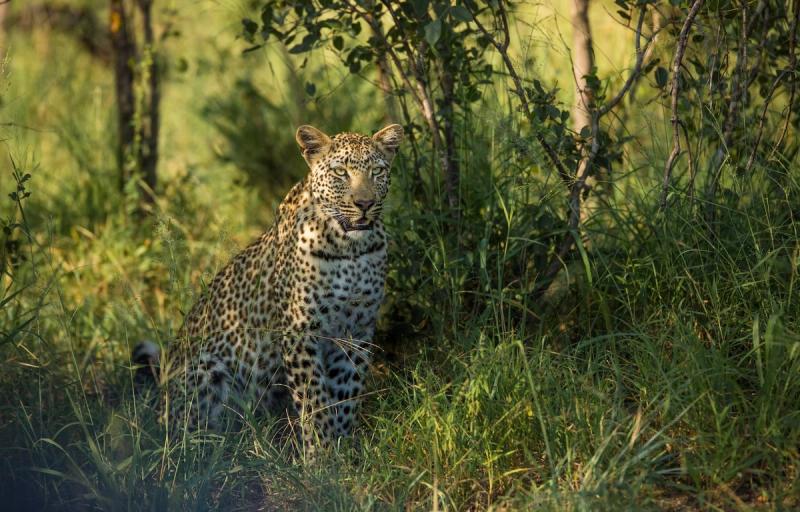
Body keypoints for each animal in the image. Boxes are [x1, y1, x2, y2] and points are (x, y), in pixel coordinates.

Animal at [132, 123, 404, 457]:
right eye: (340, 172)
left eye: (377, 171)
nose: (364, 204)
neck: (350, 250)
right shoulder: (301, 330)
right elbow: (315, 399)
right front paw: (321, 455)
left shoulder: (357, 331)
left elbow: (346, 395)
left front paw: (342, 448)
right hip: (205, 369)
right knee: (189, 432)